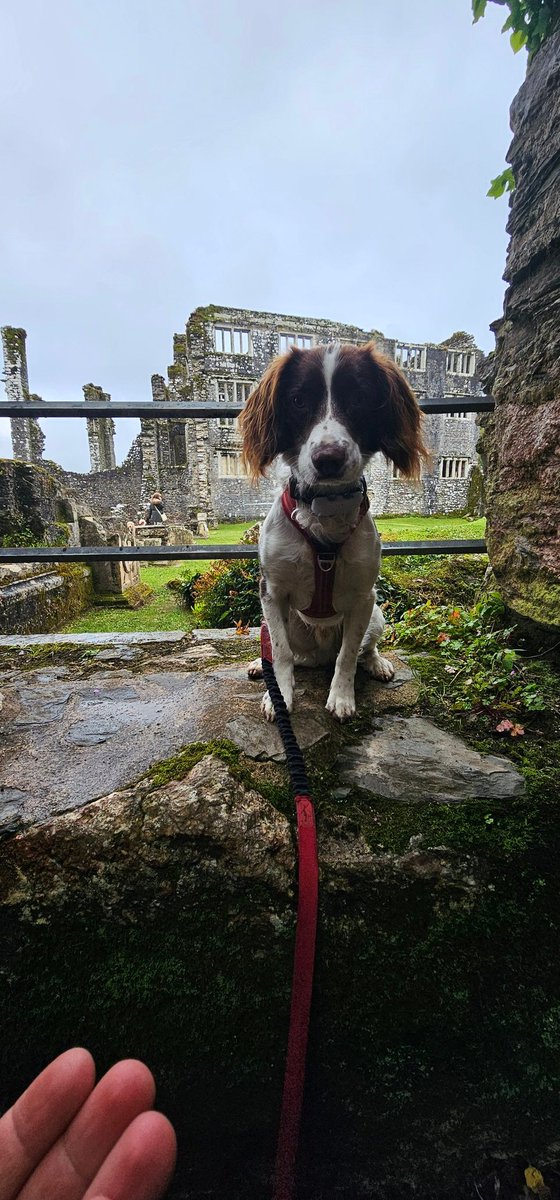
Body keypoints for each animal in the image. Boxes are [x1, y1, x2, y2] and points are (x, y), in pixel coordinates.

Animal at [238, 338, 426, 720]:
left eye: (360, 397)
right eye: (297, 400)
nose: (328, 459)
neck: (324, 511)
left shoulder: (363, 597)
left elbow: (348, 655)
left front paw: (341, 697)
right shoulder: (272, 591)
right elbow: (280, 652)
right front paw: (279, 695)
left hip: (377, 614)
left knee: (363, 649)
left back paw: (377, 663)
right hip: (271, 622)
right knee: (285, 652)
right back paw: (259, 664)